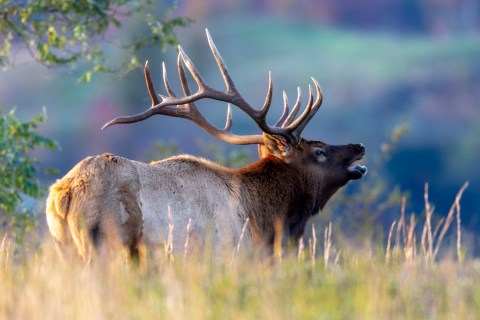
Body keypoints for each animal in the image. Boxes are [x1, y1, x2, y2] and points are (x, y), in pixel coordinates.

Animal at [45, 29, 368, 260]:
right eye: (319, 151)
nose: (359, 146)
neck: (262, 221)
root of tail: (63, 194)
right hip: (104, 242)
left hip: (65, 247)